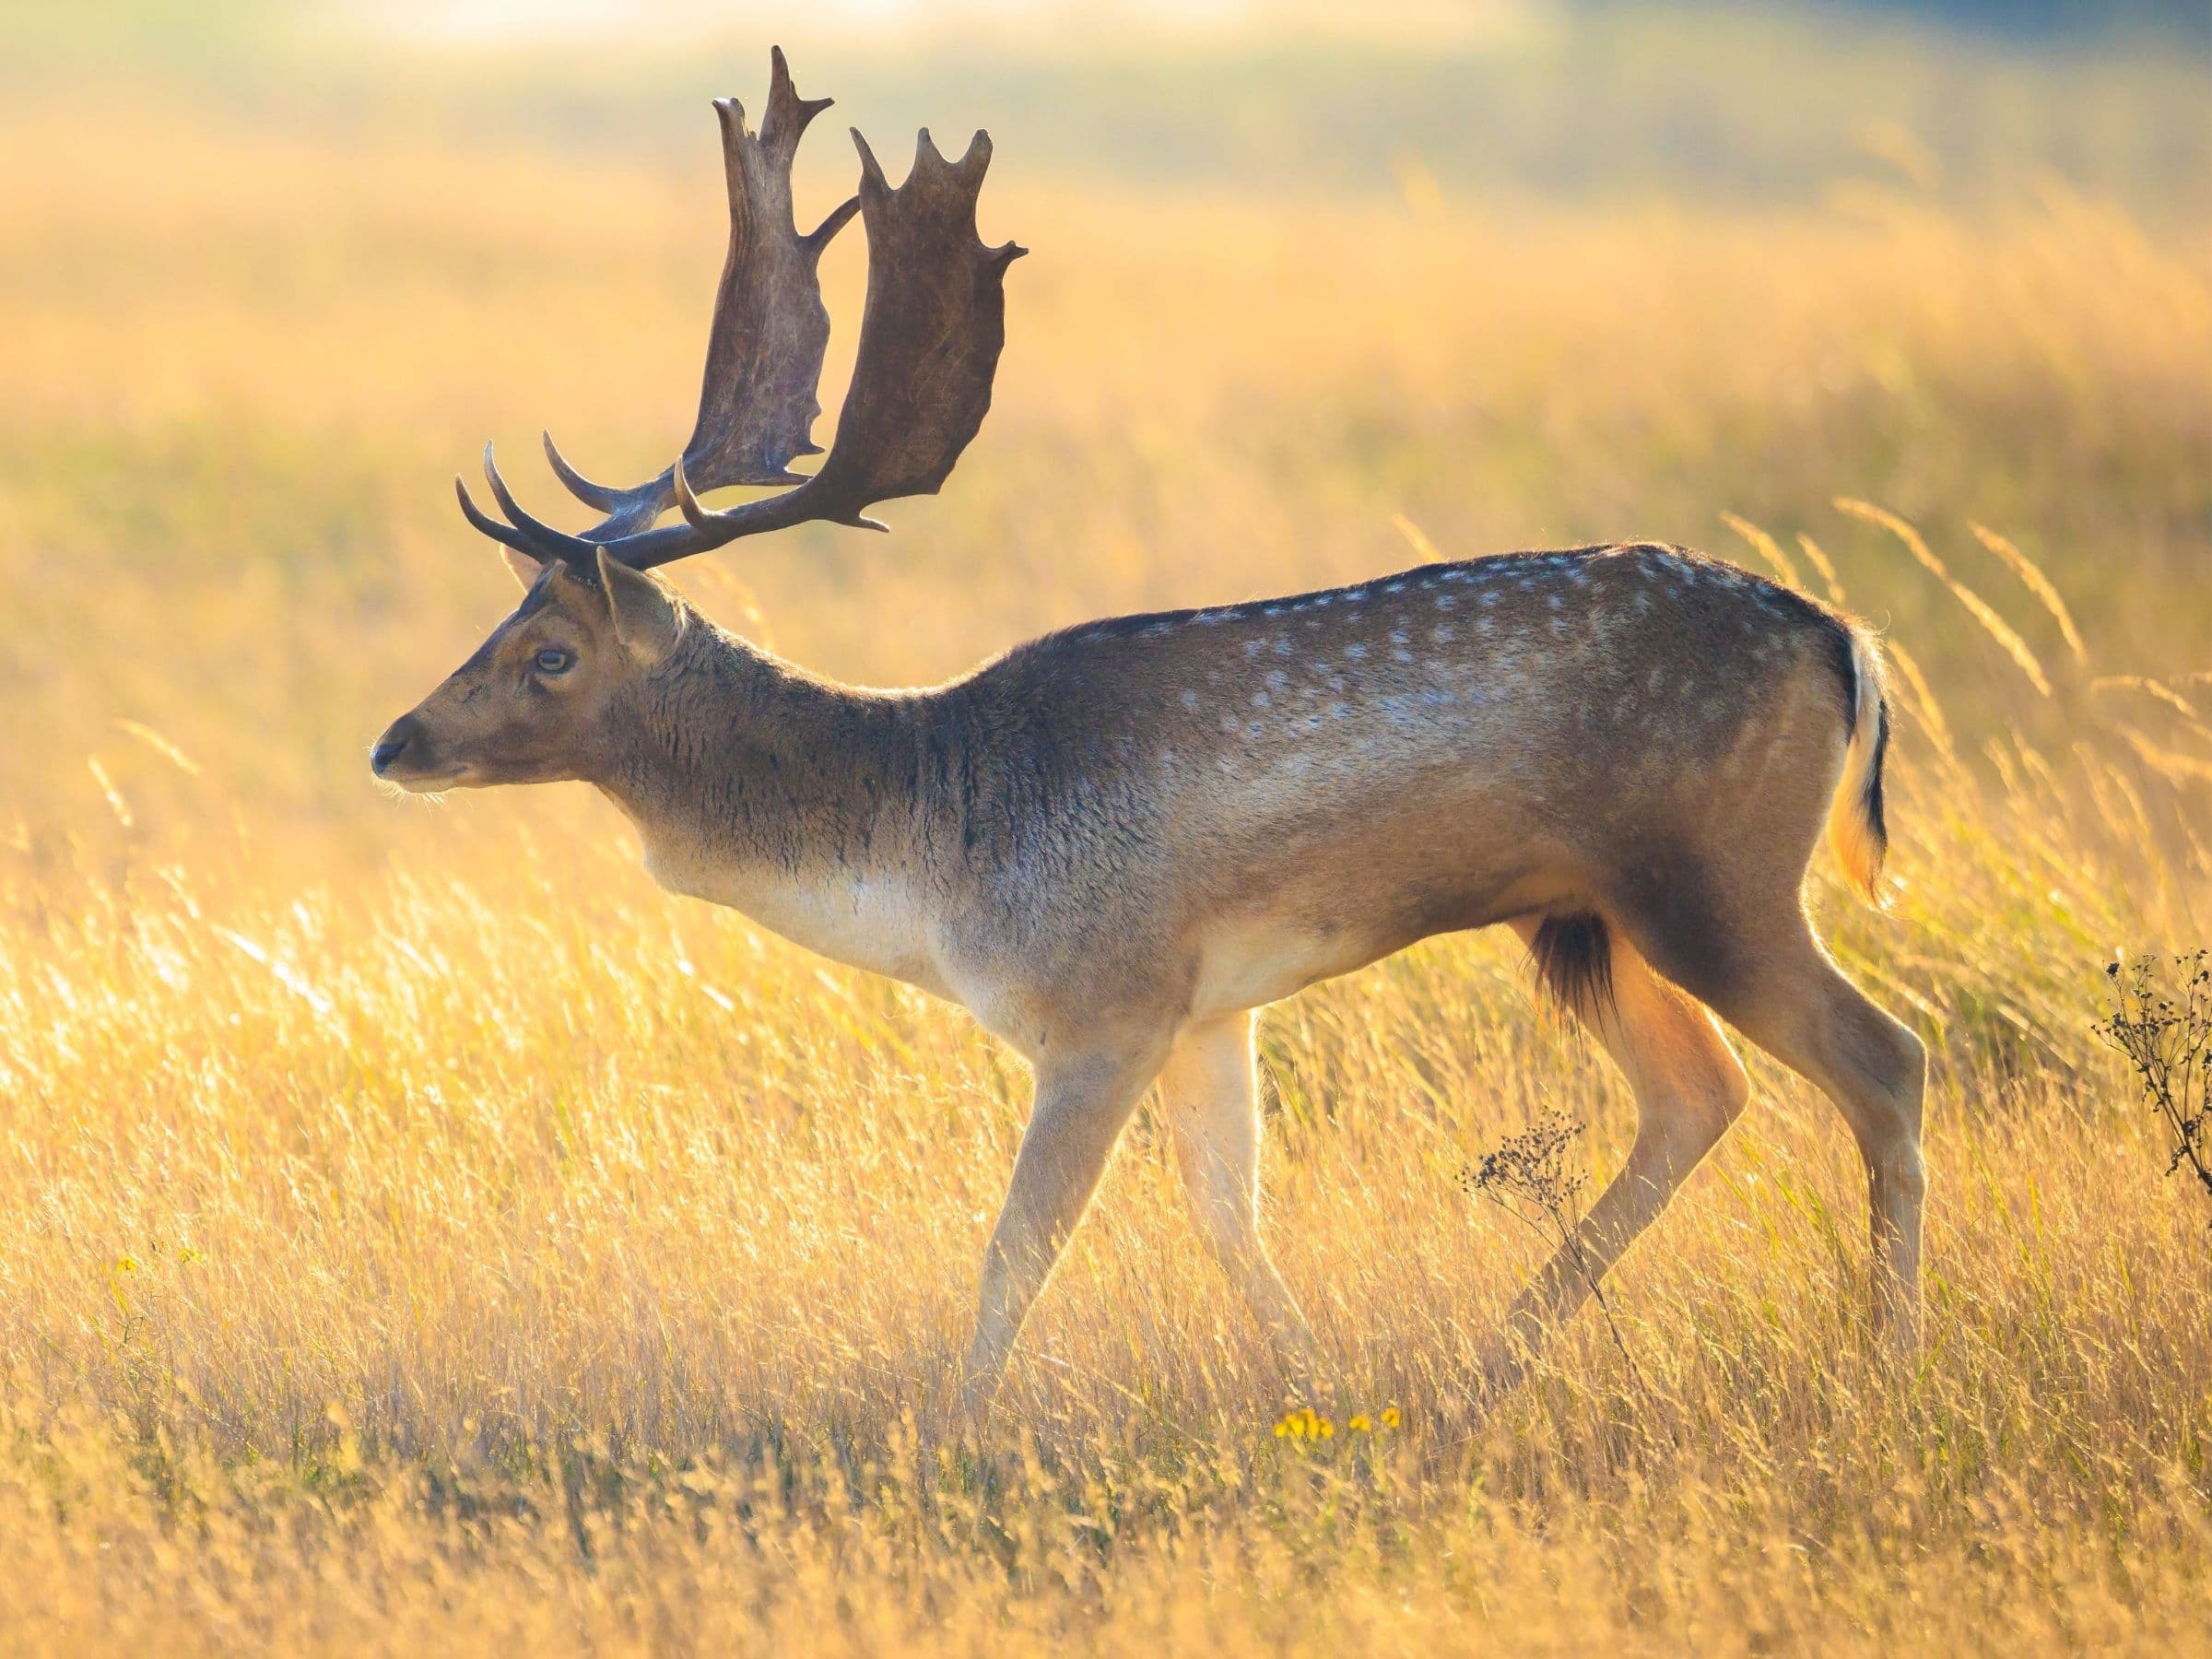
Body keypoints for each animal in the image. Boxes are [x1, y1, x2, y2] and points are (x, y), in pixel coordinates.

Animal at [371, 50, 1927, 1415]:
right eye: (500, 617)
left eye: (552, 653)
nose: (396, 743)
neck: (934, 853)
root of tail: (1843, 642)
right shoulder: (1210, 1007)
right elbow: (1230, 1218)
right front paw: (1323, 1392)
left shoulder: (1104, 1003)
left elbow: (1020, 1247)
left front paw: (952, 1434)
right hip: (1585, 913)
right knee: (1701, 1094)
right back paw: (1486, 1369)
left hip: (1712, 877)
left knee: (1882, 1059)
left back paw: (1887, 1361)